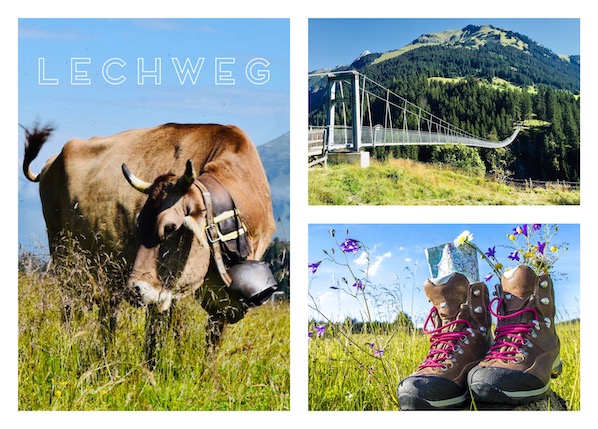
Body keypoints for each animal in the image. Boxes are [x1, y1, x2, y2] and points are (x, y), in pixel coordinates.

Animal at [22, 122, 278, 370]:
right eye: (139, 222)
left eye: (170, 227)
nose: (136, 289)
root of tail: (52, 160)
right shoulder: (171, 289)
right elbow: (164, 333)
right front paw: (154, 370)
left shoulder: (220, 301)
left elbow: (212, 341)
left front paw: (208, 377)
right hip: (64, 255)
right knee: (70, 306)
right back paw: (72, 347)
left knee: (107, 314)